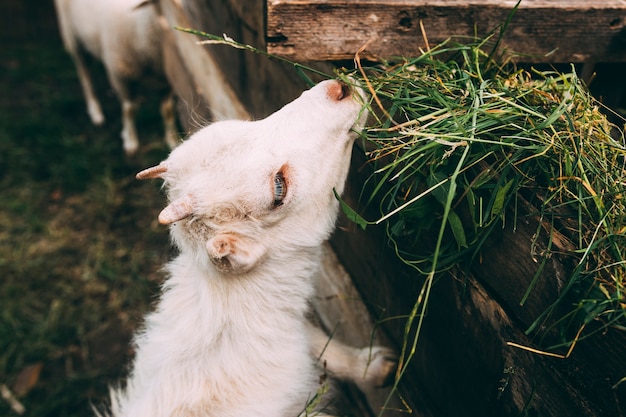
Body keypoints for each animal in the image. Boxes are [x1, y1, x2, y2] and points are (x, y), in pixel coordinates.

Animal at [54, 0, 176, 154]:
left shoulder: (166, 80)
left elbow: (167, 110)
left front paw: (172, 140)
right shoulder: (120, 76)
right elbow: (129, 109)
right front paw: (130, 140)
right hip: (73, 36)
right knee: (85, 76)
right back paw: (95, 111)